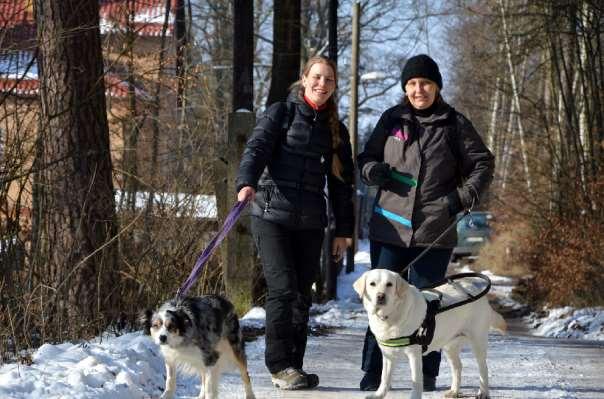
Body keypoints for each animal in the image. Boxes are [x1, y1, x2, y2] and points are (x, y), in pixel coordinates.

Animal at [354, 270, 504, 398]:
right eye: (372, 284)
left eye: (389, 284)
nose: (380, 296)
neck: (390, 316)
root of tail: (481, 296)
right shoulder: (388, 354)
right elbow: (384, 378)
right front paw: (378, 395)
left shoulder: (414, 354)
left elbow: (416, 381)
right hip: (449, 345)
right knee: (458, 366)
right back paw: (454, 391)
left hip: (477, 341)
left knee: (483, 368)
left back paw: (483, 393)